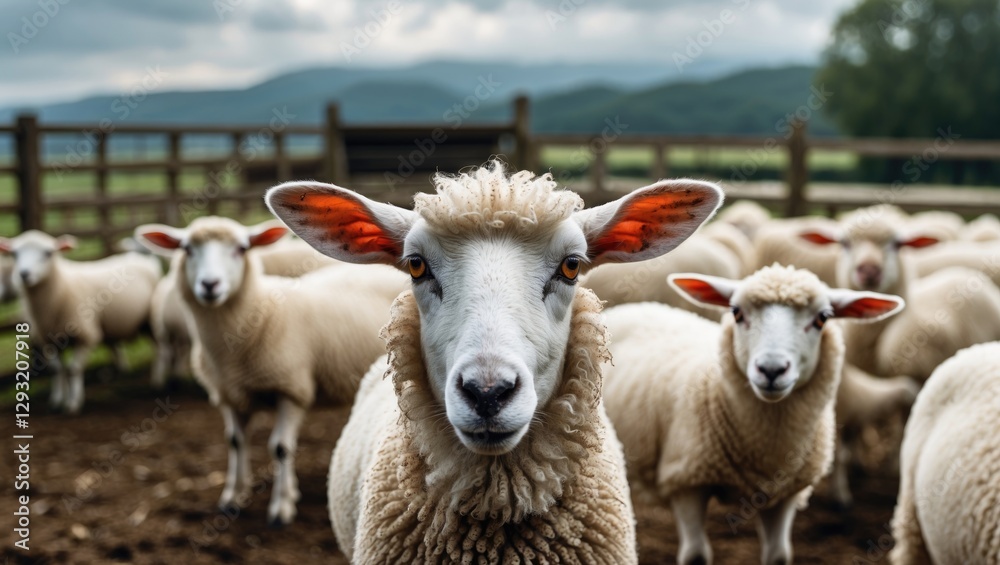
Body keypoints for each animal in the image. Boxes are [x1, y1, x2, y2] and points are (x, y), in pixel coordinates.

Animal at [0, 231, 160, 414]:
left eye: (48, 253)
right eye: (14, 254)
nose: (24, 274)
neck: (61, 287)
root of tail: (142, 258)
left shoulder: (86, 337)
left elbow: (74, 369)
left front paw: (73, 403)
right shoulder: (47, 340)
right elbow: (57, 370)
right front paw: (57, 400)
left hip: (150, 321)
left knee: (159, 348)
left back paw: (158, 379)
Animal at [135, 217, 407, 527]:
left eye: (241, 249)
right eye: (187, 248)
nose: (210, 285)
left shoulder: (291, 389)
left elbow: (280, 448)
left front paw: (282, 505)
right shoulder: (228, 395)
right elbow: (235, 442)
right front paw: (233, 497)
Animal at [602, 265, 904, 565]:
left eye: (822, 318)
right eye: (736, 312)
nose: (771, 369)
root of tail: (633, 307)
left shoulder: (784, 495)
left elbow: (779, 556)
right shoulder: (685, 482)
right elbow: (696, 555)